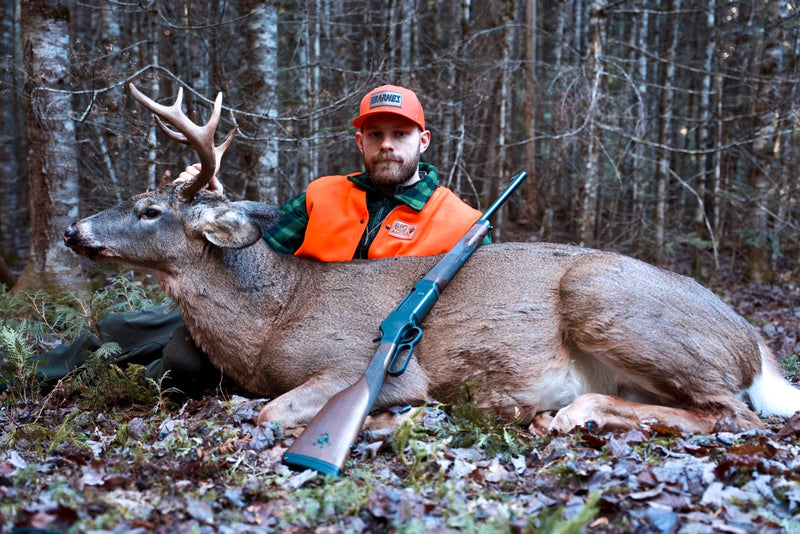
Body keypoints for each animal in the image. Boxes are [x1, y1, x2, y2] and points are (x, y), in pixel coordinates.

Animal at [64, 84, 800, 437]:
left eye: (149, 210)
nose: (73, 230)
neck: (269, 319)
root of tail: (754, 343)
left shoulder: (362, 363)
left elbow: (271, 412)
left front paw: (399, 416)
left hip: (608, 299)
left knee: (732, 413)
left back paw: (572, 413)